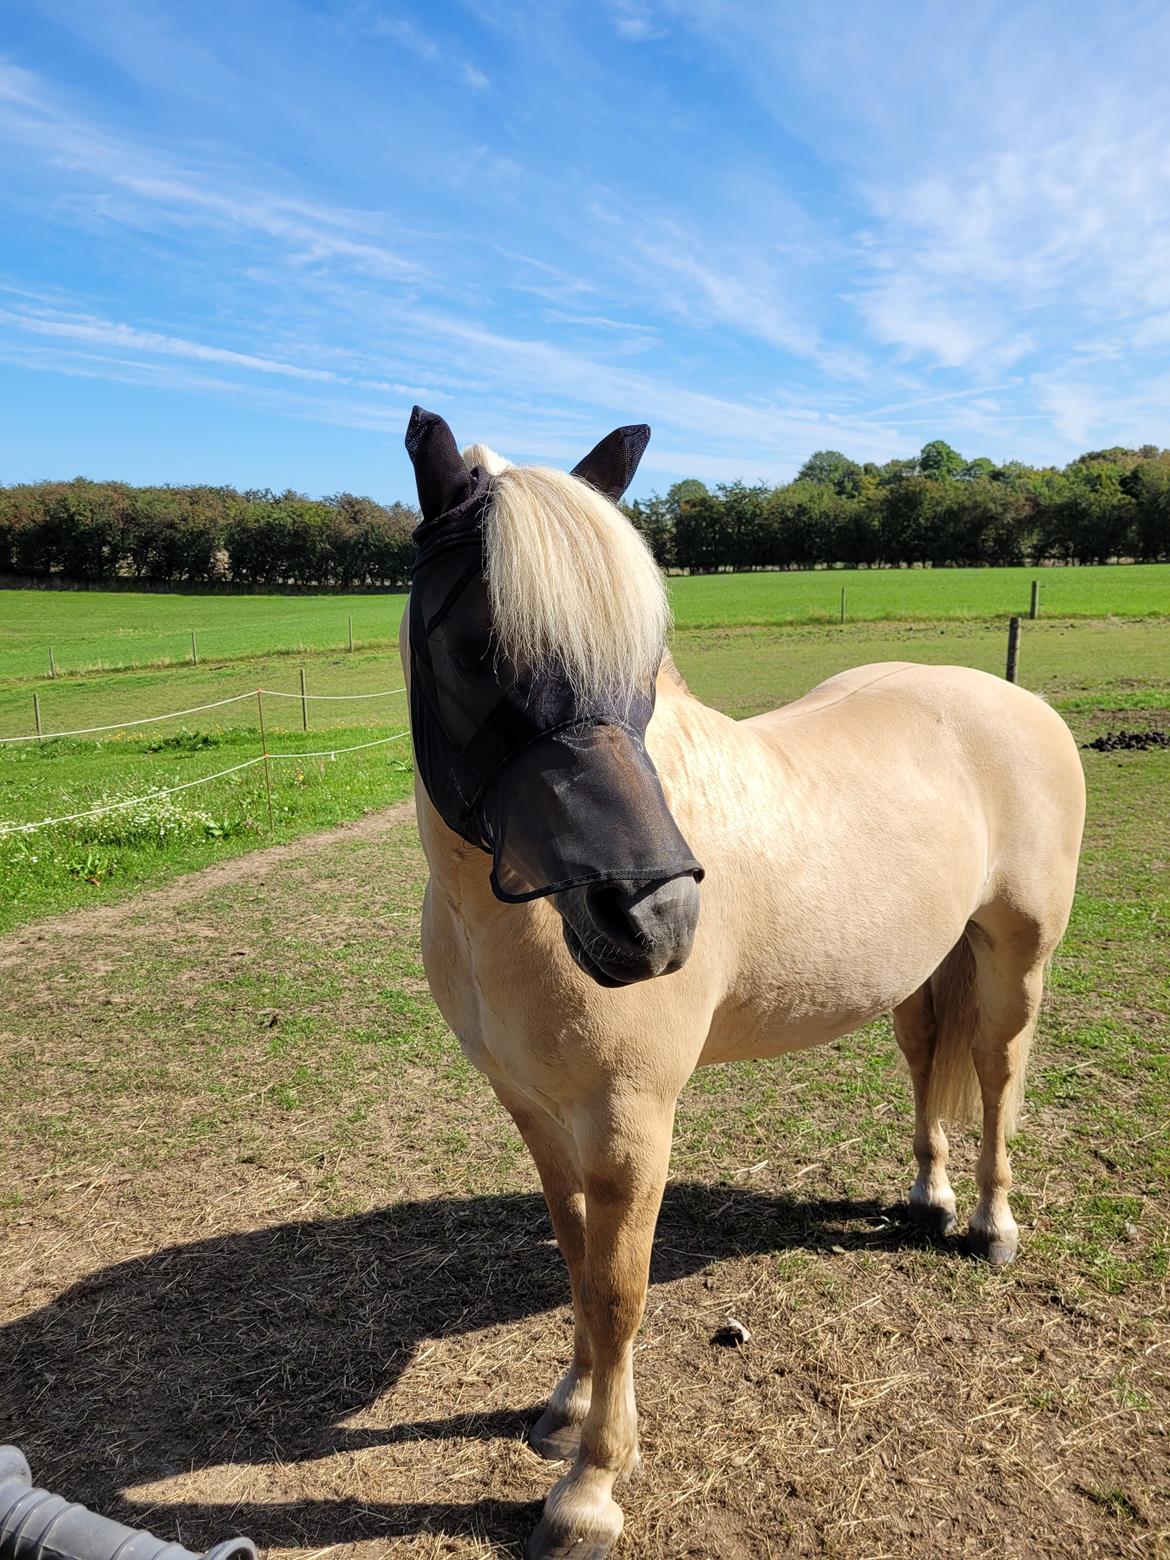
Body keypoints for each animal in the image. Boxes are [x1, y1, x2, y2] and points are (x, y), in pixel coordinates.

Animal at [402, 408, 1092, 1553]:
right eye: (473, 646)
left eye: (645, 661)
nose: (653, 919)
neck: (505, 918)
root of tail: (1010, 701)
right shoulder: (536, 1111)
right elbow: (575, 1264)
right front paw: (567, 1410)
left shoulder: (630, 1121)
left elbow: (619, 1291)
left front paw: (592, 1487)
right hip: (922, 968)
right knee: (927, 1062)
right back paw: (930, 1197)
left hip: (1015, 954)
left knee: (997, 1073)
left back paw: (992, 1225)